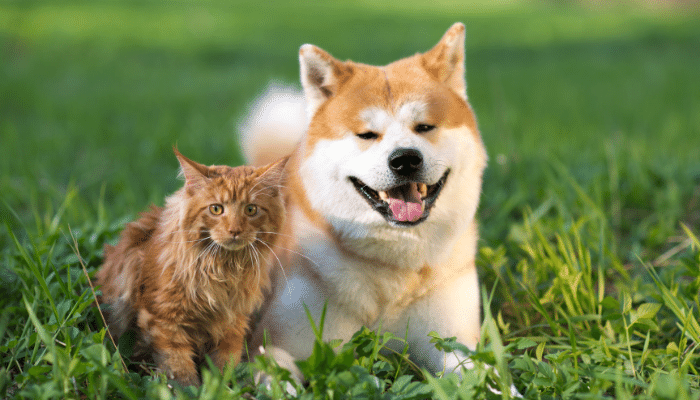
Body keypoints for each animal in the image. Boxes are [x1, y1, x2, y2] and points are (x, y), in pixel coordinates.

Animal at [95, 148, 288, 386]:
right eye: (216, 209)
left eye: (251, 210)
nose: (234, 230)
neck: (222, 268)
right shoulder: (163, 318)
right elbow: (178, 366)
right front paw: (188, 387)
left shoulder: (233, 323)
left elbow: (223, 365)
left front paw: (220, 386)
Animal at [241, 23, 486, 380]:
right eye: (367, 134)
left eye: (425, 127)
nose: (405, 159)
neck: (392, 267)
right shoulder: (271, 346)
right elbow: (277, 373)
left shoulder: (455, 343)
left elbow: (490, 375)